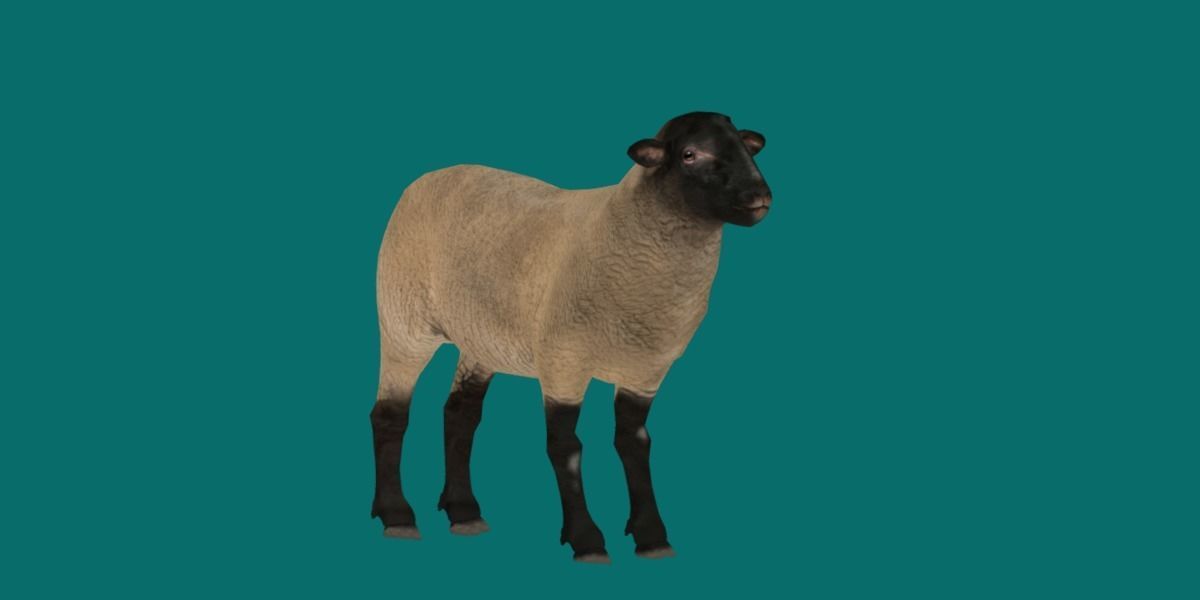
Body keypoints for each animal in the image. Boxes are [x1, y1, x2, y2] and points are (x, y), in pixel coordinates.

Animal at [372, 111, 772, 563]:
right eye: (690, 154)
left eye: (745, 146)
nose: (760, 195)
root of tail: (428, 176)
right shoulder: (563, 359)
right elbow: (566, 448)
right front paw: (587, 539)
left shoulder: (646, 369)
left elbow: (634, 442)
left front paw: (651, 535)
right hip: (404, 322)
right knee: (389, 415)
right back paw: (398, 516)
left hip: (480, 339)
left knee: (459, 414)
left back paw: (464, 512)